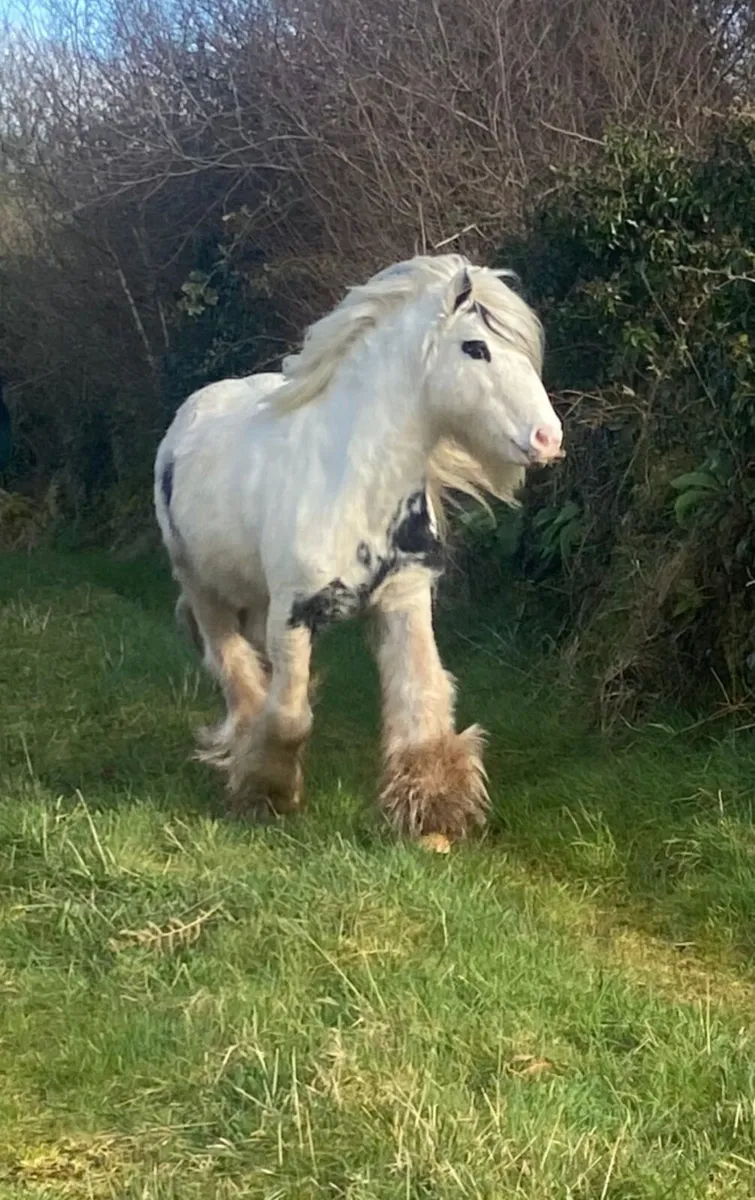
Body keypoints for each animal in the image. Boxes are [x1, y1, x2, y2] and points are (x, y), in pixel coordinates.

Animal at [154, 253, 564, 840]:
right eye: (475, 347)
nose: (548, 439)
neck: (352, 487)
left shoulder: (403, 601)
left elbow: (422, 700)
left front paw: (433, 814)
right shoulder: (294, 614)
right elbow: (289, 716)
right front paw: (269, 791)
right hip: (204, 591)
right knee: (235, 672)